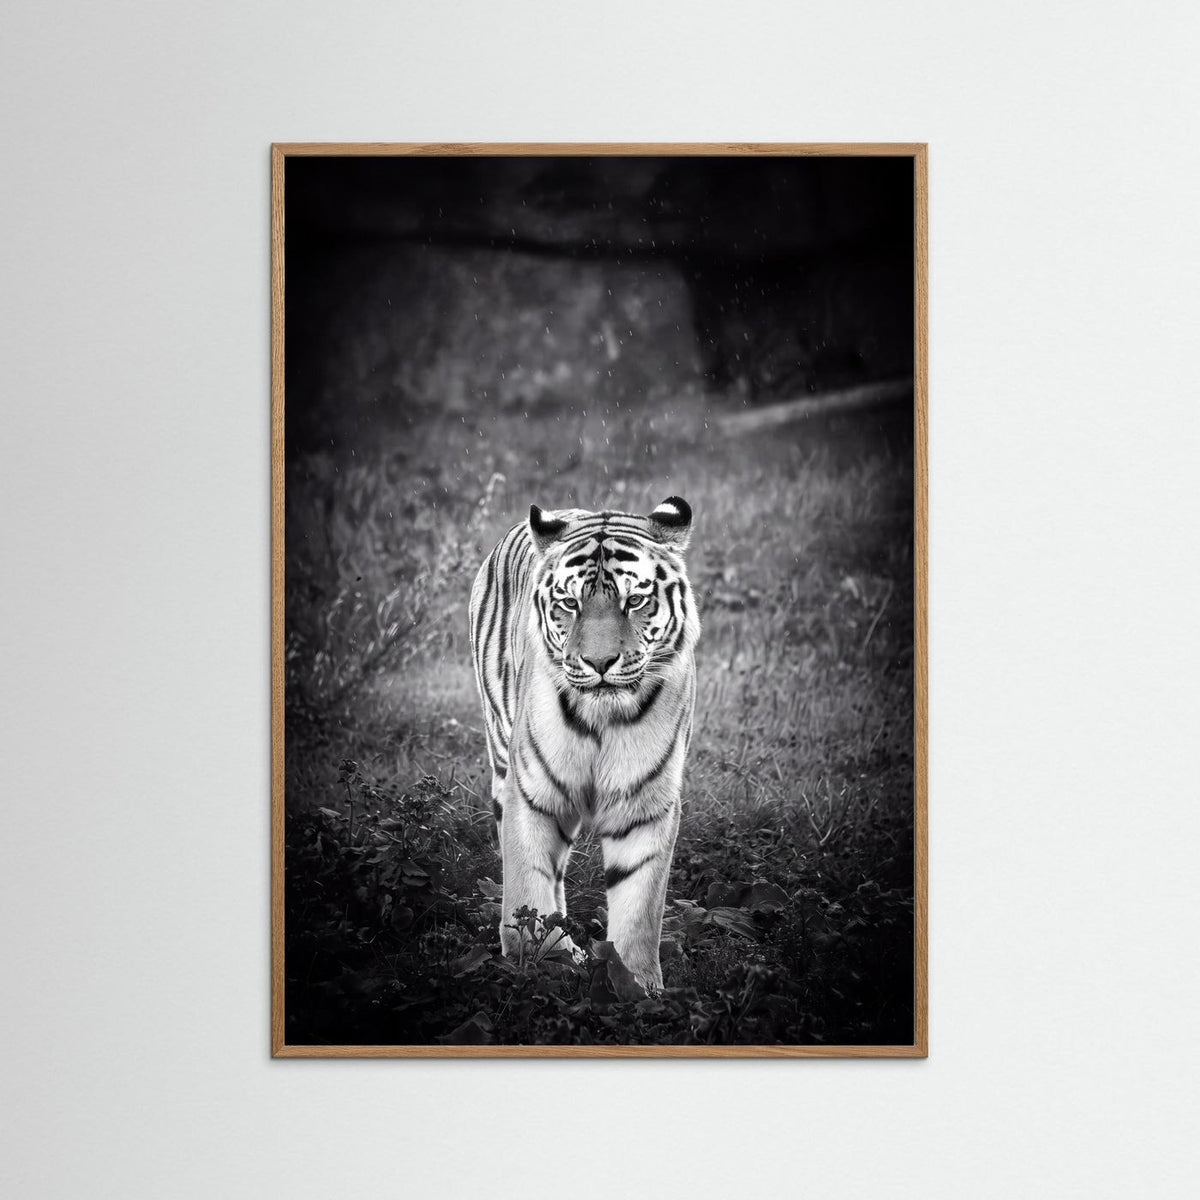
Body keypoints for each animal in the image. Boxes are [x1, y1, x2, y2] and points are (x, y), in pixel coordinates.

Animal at [467, 496, 699, 990]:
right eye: (570, 603)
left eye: (635, 601)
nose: (599, 662)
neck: (601, 718)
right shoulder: (531, 792)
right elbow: (527, 881)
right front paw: (540, 960)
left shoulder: (645, 804)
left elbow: (640, 906)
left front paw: (636, 985)